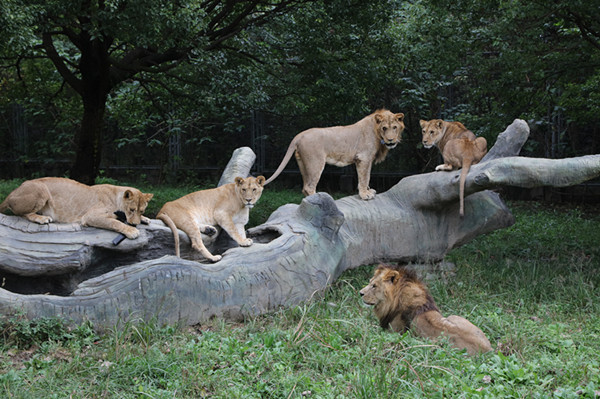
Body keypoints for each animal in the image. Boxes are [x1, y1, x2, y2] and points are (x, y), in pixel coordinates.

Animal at [1, 177, 155, 239]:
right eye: (132, 209)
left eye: (142, 210)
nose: (134, 224)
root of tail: (11, 193)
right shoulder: (90, 216)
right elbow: (114, 222)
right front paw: (131, 230)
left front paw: (145, 219)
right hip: (41, 189)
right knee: (22, 214)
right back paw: (42, 218)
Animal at [264, 109, 406, 200]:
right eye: (384, 128)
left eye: (394, 127)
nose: (390, 140)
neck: (376, 132)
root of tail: (299, 135)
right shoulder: (364, 158)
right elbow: (364, 177)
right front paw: (365, 194)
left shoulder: (366, 160)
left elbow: (367, 176)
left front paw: (368, 190)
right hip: (315, 163)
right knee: (309, 187)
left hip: (303, 164)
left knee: (304, 187)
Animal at [360, 266, 492, 356]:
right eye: (370, 282)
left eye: (374, 286)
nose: (360, 293)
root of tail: (488, 350)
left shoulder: (393, 331)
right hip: (453, 317)